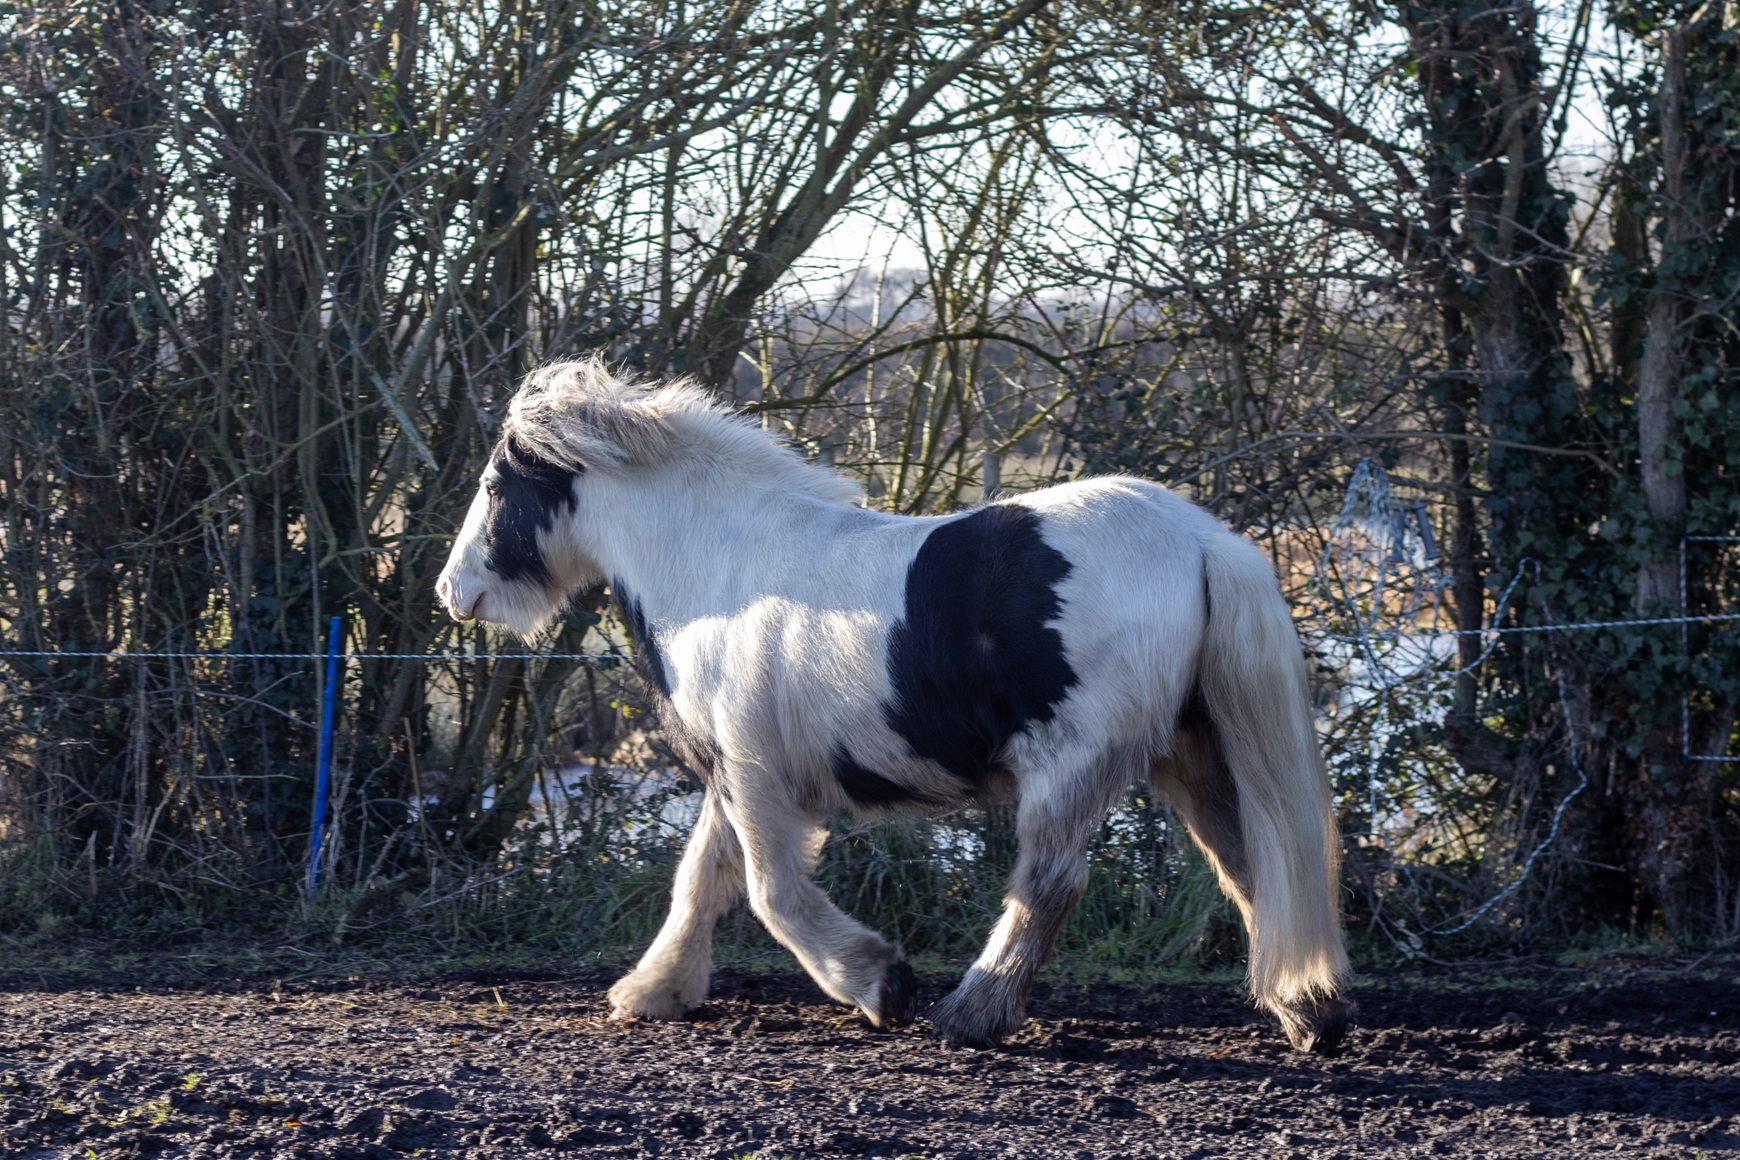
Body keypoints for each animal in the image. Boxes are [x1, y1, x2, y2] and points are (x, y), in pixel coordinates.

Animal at [436, 359, 1352, 1051]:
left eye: (493, 484)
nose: (455, 592)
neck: (717, 565)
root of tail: (1201, 540)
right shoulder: (730, 772)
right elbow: (700, 881)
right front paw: (655, 991)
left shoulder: (755, 772)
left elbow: (771, 893)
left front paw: (880, 983)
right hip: (1192, 753)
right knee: (1255, 865)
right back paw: (1310, 1012)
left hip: (1075, 763)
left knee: (1051, 883)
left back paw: (970, 1014)